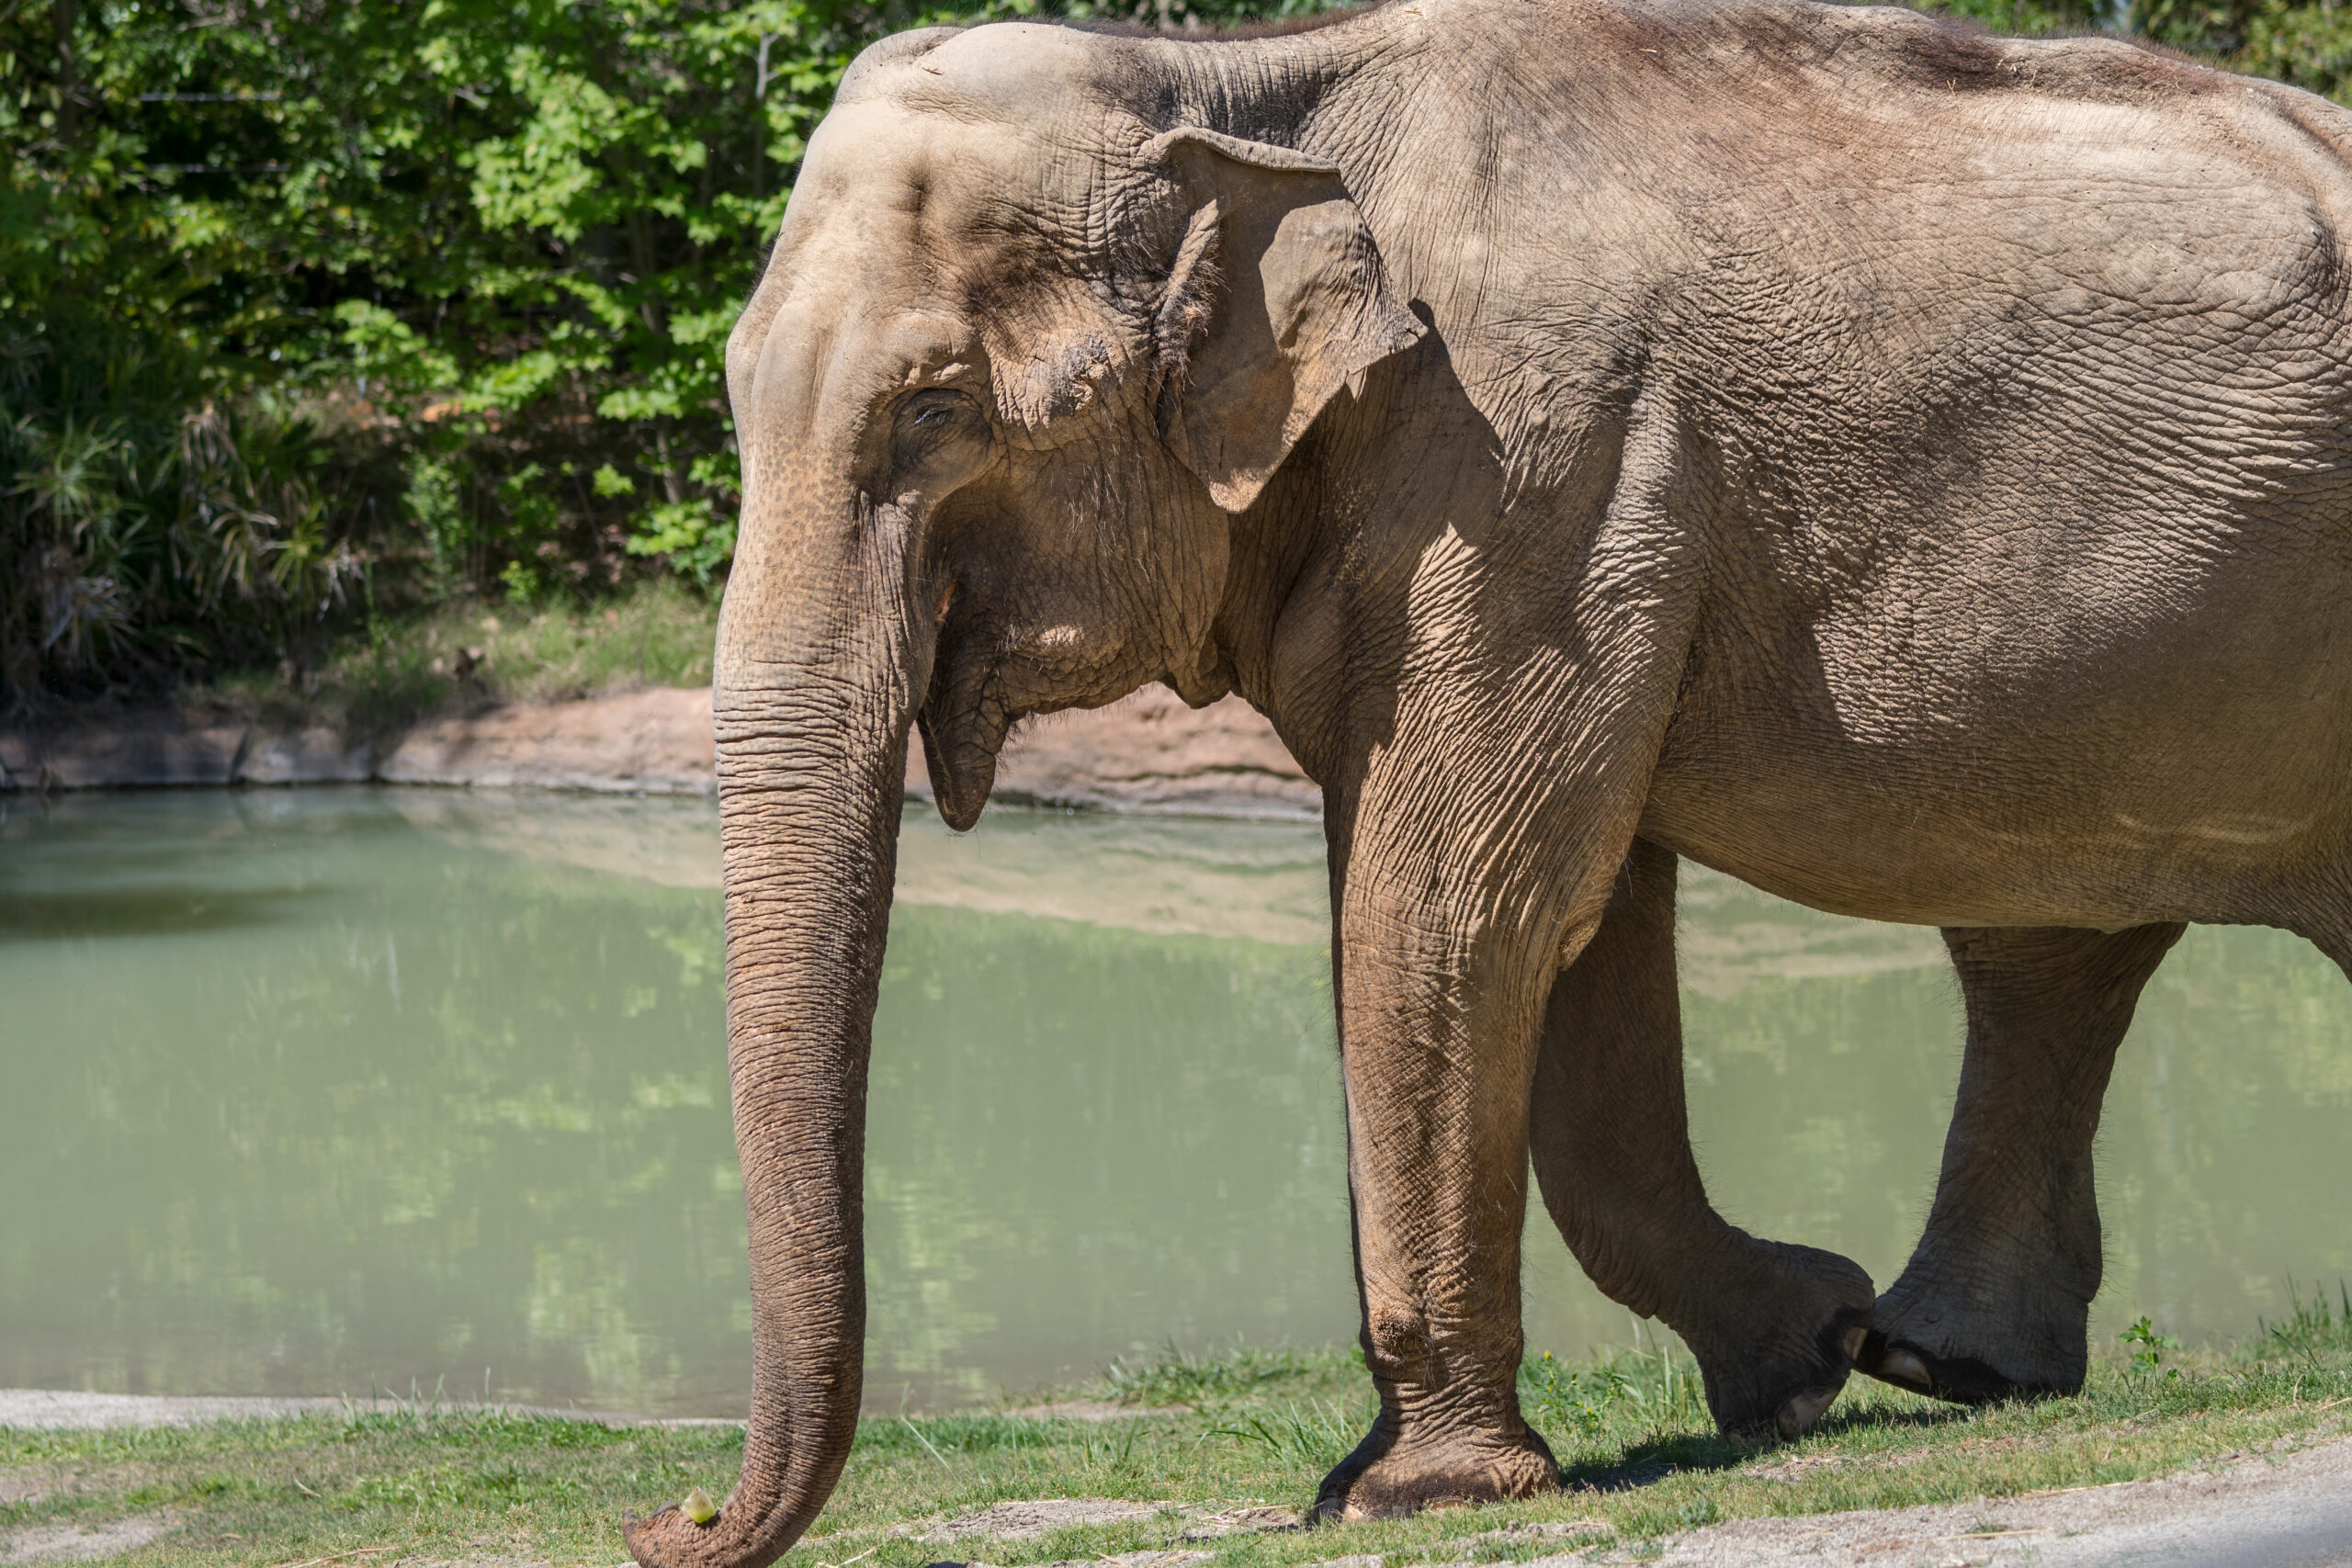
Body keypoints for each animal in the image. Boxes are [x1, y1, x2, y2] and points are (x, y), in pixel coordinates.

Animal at [619, 0, 2352, 1563]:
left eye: (936, 413)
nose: (669, 1517)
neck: (1237, 83)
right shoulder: (1544, 513)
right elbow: (1582, 938)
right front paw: (1801, 1355)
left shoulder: (1540, 470)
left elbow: (1459, 908)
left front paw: (1411, 1495)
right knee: (2048, 940)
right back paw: (1942, 1360)